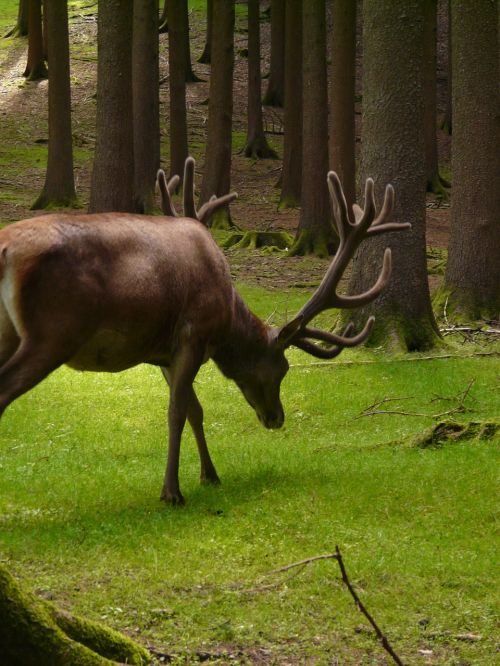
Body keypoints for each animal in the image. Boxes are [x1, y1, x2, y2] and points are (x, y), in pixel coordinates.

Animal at [0, 158, 410, 504]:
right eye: (282, 369)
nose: (276, 418)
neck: (226, 315)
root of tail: (6, 249)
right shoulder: (193, 337)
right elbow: (177, 411)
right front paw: (171, 492)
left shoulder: (164, 353)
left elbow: (195, 410)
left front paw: (210, 475)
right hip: (53, 332)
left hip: (12, 332)